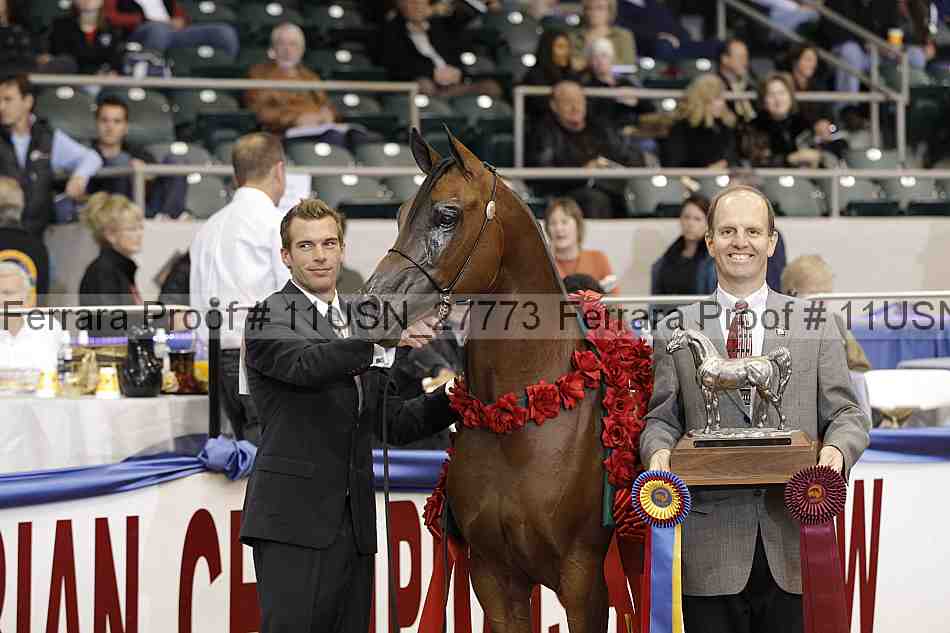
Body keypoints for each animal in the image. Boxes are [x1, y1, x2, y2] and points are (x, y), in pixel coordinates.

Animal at [362, 129, 616, 632]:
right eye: (400, 214)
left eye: (446, 215)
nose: (372, 306)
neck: (523, 418)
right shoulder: (494, 576)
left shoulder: (583, 583)